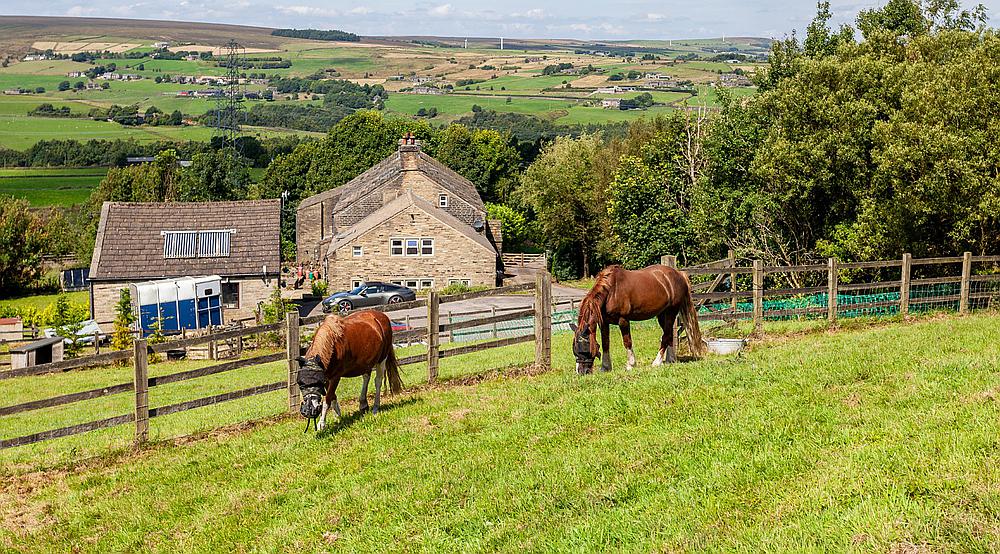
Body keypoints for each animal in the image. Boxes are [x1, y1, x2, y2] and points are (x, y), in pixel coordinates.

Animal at [576, 264, 708, 376]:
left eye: (584, 348)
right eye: (574, 347)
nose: (581, 372)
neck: (611, 290)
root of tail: (679, 274)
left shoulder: (623, 320)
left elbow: (627, 342)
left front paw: (630, 365)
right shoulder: (604, 323)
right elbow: (605, 344)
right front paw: (605, 367)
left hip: (671, 312)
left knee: (666, 336)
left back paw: (656, 362)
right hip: (662, 315)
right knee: (669, 334)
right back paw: (670, 360)